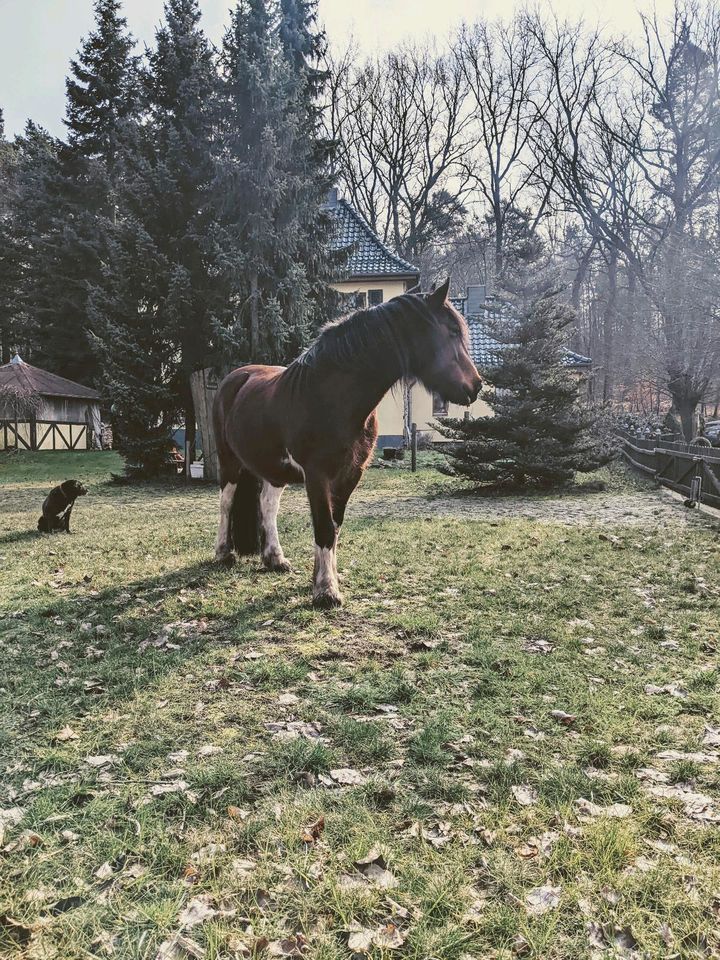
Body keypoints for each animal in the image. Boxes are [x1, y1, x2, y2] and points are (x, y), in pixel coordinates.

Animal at [211, 280, 480, 608]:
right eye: (452, 332)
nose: (476, 385)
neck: (334, 397)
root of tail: (235, 378)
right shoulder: (316, 475)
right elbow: (324, 527)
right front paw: (326, 591)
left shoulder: (351, 474)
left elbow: (334, 526)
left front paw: (322, 580)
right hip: (229, 461)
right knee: (226, 502)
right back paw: (224, 553)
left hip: (274, 470)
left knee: (267, 506)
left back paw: (275, 559)